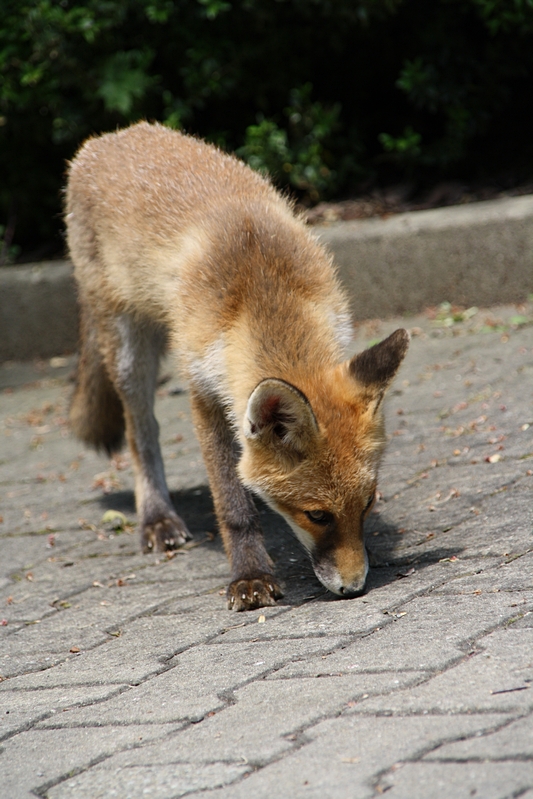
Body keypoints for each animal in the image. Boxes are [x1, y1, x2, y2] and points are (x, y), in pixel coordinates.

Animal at [65, 121, 409, 611]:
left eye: (368, 502)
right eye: (317, 514)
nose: (354, 587)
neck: (261, 289)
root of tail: (113, 135)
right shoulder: (204, 392)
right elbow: (232, 507)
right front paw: (250, 575)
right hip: (129, 350)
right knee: (140, 434)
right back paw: (156, 517)